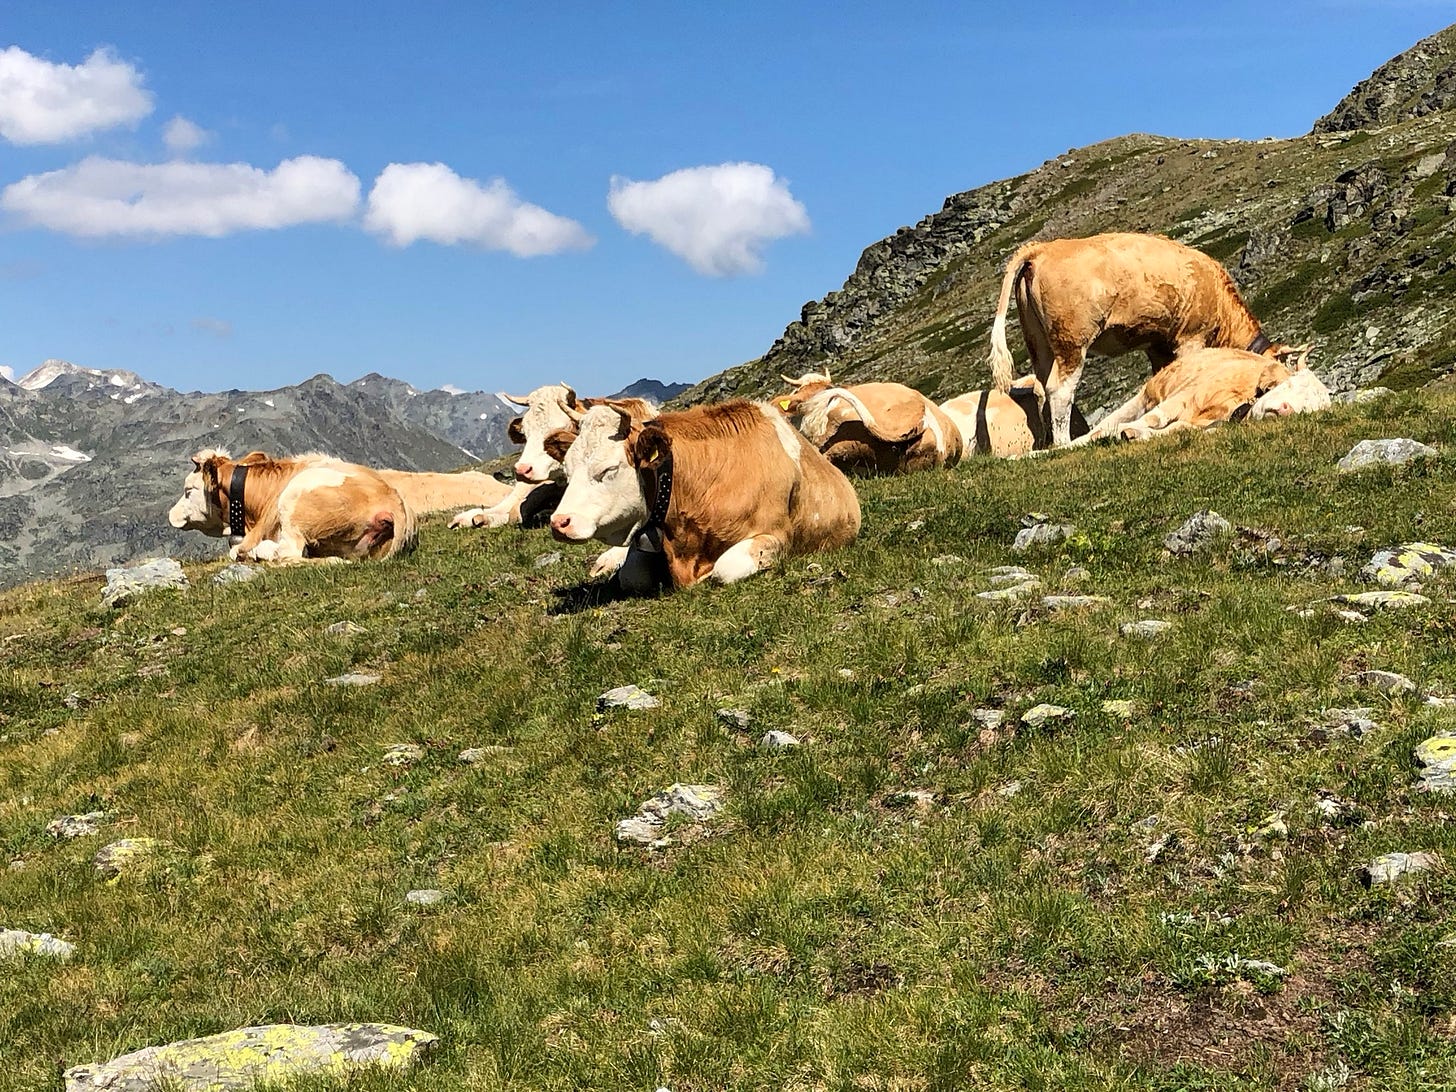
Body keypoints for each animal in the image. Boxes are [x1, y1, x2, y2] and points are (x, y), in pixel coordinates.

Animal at [546, 400, 861, 592]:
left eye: (609, 469)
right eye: (567, 469)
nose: (559, 522)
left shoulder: (776, 536)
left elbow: (724, 569)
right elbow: (631, 576)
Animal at [1072, 346, 1309, 444]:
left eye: (1308, 409)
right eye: (1289, 384)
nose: (1287, 409)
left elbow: (1175, 429)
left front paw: (1132, 434)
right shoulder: (1184, 396)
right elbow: (1156, 418)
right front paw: (1120, 431)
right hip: (1148, 393)